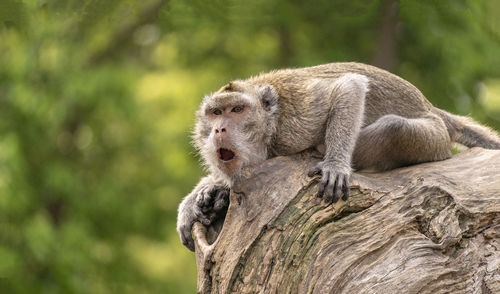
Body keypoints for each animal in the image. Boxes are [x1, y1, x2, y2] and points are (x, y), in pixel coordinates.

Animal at [176, 61, 500, 250]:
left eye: (237, 110)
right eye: (215, 112)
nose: (219, 129)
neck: (270, 126)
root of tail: (432, 108)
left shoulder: (296, 123)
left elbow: (349, 88)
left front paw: (334, 164)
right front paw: (202, 195)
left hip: (431, 139)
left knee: (392, 127)